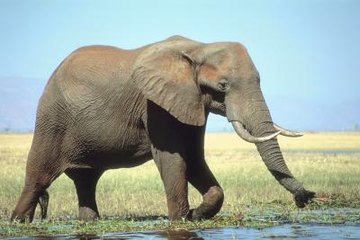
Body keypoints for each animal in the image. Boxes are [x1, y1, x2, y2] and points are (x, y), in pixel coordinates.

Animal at [11, 35, 316, 223]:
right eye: (223, 85)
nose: (307, 197)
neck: (199, 47)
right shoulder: (155, 104)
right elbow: (173, 158)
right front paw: (181, 219)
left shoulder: (190, 101)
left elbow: (194, 159)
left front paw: (195, 215)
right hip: (52, 119)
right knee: (37, 177)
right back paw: (19, 221)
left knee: (86, 180)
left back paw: (90, 222)